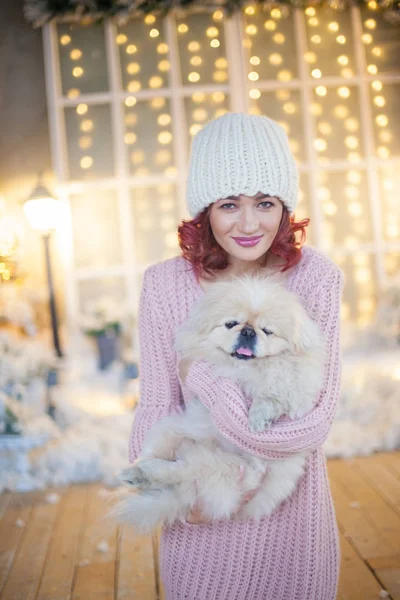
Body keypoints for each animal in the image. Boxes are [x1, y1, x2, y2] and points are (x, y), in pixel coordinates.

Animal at [112, 274, 324, 532]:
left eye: (267, 331)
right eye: (231, 324)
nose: (249, 332)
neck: (247, 368)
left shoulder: (298, 388)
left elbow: (274, 392)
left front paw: (257, 418)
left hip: (228, 469)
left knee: (184, 470)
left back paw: (147, 473)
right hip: (170, 430)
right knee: (164, 462)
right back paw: (137, 472)